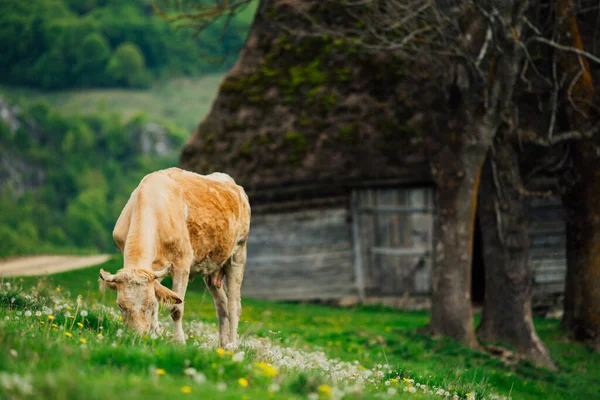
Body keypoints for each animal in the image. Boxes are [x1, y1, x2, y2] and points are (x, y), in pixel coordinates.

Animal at [99, 166, 250, 346]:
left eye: (148, 304)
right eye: (120, 305)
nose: (137, 336)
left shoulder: (182, 265)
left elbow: (176, 308)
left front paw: (179, 341)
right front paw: (154, 335)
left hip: (238, 254)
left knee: (234, 306)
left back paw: (233, 345)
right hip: (212, 268)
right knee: (222, 306)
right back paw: (223, 345)